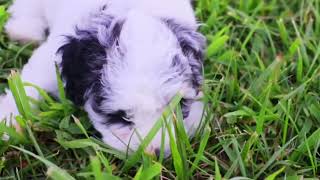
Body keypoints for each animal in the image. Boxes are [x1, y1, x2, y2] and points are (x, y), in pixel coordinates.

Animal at [0, 0, 205, 156]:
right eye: (120, 117)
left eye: (179, 105)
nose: (153, 152)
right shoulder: (51, 63)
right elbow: (27, 86)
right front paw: (8, 121)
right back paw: (24, 30)